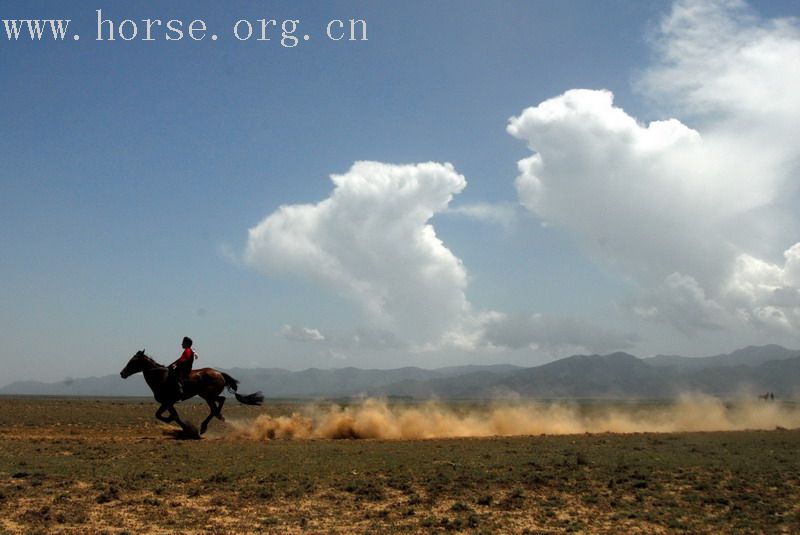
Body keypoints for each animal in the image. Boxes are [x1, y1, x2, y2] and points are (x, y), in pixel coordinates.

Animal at [120, 352, 262, 436]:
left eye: (133, 361)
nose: (122, 373)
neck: (161, 378)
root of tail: (220, 373)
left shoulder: (168, 402)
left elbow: (168, 416)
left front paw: (188, 429)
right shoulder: (167, 403)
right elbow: (166, 415)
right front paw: (185, 428)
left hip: (207, 395)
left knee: (217, 405)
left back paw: (205, 426)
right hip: (207, 395)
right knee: (220, 402)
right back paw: (217, 418)